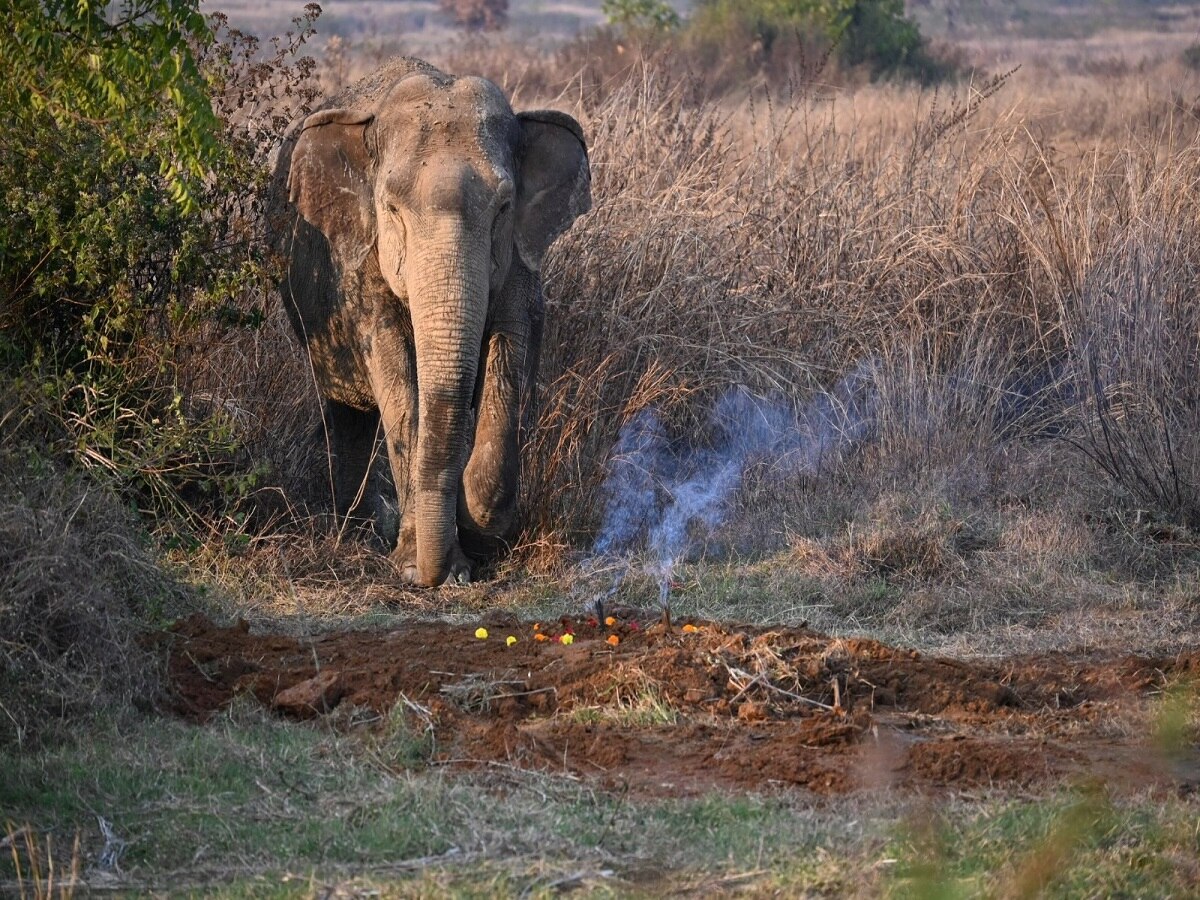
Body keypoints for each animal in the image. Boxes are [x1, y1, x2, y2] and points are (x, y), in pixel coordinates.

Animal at [272, 60, 590, 588]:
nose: (439, 575)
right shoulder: (360, 268)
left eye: (504, 208)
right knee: (343, 414)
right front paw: (412, 565)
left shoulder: (520, 266)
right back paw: (355, 529)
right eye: (392, 209)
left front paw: (472, 540)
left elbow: (512, 352)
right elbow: (398, 379)